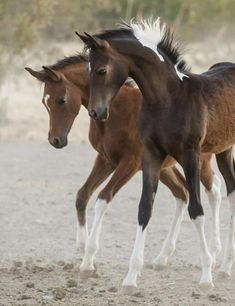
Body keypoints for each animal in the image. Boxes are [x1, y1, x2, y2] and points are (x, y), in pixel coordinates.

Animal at [26, 52, 221, 280]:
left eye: (61, 100)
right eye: (44, 102)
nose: (55, 140)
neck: (117, 111)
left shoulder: (130, 163)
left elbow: (103, 197)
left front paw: (88, 261)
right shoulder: (106, 160)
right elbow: (82, 195)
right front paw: (82, 247)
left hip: (198, 162)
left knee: (214, 190)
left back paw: (216, 255)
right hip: (164, 168)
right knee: (182, 192)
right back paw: (163, 257)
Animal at [77, 17, 235, 288]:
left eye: (101, 70)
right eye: (87, 70)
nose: (96, 112)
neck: (168, 99)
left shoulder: (190, 155)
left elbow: (196, 210)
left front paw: (206, 276)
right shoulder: (151, 155)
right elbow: (144, 209)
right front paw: (131, 278)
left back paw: (221, 266)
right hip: (224, 150)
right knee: (232, 190)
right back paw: (225, 267)